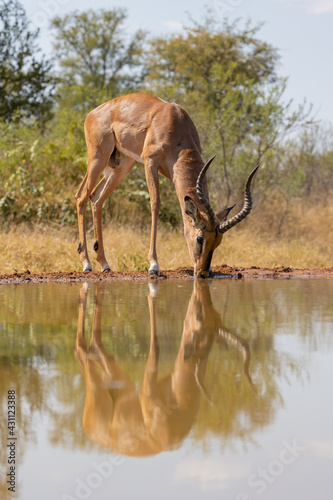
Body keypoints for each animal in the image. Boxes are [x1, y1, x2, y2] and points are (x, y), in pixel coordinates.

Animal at [74, 282, 253, 458]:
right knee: (81, 349)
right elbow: (155, 346)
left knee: (97, 347)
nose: (197, 299)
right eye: (199, 319)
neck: (181, 405)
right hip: (98, 390)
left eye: (216, 316)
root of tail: (87, 427)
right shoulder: (147, 395)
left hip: (120, 383)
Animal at [76, 93, 258, 278]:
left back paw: (104, 264)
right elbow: (155, 204)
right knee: (81, 196)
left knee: (96, 198)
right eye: (199, 238)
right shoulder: (150, 162)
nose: (202, 273)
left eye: (218, 241)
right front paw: (154, 265)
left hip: (121, 165)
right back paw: (86, 263)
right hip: (98, 158)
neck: (175, 124)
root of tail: (92, 113)